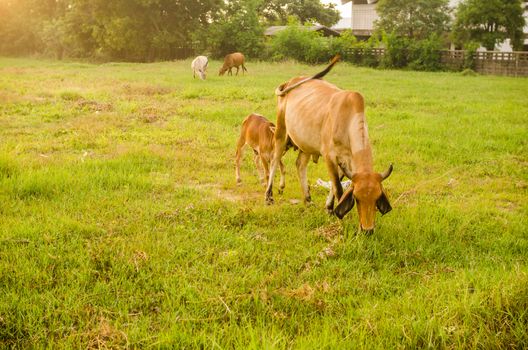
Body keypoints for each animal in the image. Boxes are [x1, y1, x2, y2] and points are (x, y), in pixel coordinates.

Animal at [264, 56, 392, 234]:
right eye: (357, 198)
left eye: (377, 197)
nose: (367, 230)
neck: (347, 122)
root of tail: (290, 81)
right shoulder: (329, 156)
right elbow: (338, 187)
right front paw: (340, 217)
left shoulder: (346, 163)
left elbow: (334, 184)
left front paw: (330, 209)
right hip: (281, 132)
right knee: (274, 160)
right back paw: (269, 196)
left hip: (305, 144)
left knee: (300, 165)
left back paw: (308, 200)